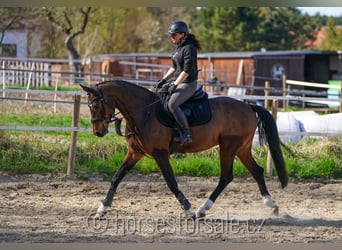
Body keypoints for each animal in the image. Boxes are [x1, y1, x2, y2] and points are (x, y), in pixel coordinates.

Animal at [80, 79, 288, 219]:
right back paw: (272, 205)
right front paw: (102, 209)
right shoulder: (134, 152)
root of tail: (248, 106)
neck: (144, 112)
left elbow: (172, 182)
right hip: (241, 148)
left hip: (228, 146)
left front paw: (188, 209)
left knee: (226, 176)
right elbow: (116, 177)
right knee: (256, 171)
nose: (98, 131)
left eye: (96, 104)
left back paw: (202, 209)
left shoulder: (160, 153)